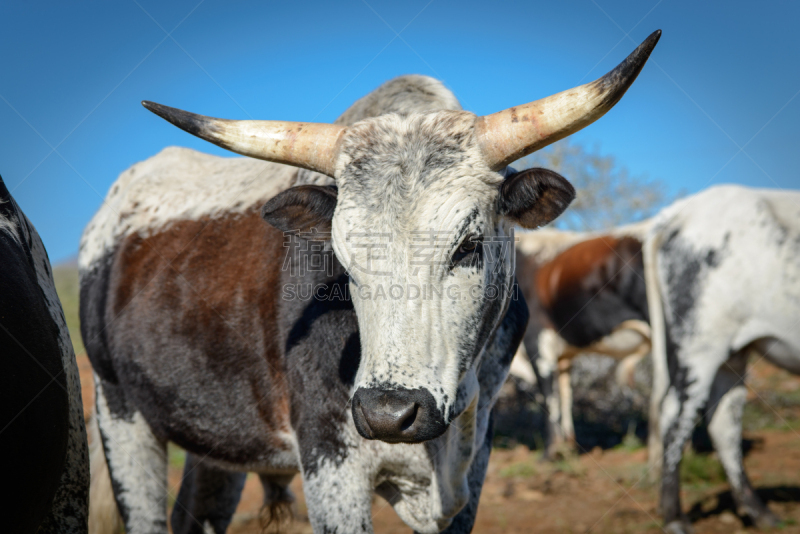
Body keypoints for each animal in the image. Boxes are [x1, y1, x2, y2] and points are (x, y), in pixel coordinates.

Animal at [79, 33, 656, 534]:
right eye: (343, 255)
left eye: (468, 245)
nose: (388, 413)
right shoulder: (331, 463)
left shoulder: (474, 466)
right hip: (118, 412)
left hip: (214, 437)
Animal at [644, 186, 800, 532]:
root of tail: (680, 211)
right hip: (702, 344)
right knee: (676, 416)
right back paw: (675, 517)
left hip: (732, 354)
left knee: (724, 422)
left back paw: (759, 512)